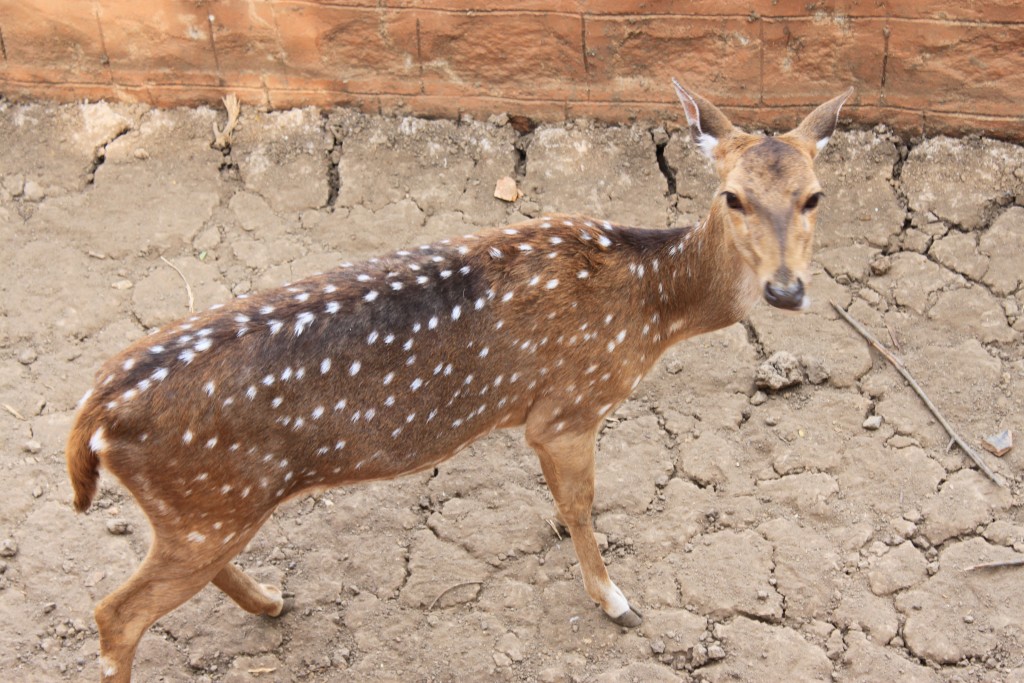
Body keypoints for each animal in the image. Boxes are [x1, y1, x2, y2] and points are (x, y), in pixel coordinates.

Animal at [61, 81, 847, 683]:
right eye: (733, 197)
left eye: (814, 196)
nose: (784, 290)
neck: (651, 307)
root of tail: (95, 411)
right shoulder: (570, 406)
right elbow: (583, 507)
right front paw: (616, 601)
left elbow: (564, 504)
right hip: (208, 504)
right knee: (113, 613)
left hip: (204, 510)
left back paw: (275, 601)